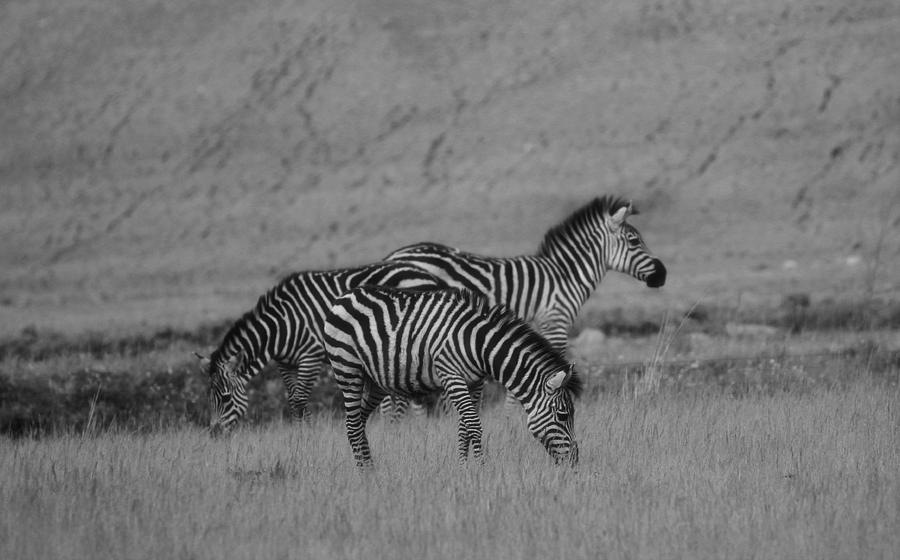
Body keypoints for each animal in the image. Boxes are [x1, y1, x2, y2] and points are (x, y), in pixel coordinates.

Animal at [199, 260, 448, 436]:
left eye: (226, 398)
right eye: (209, 398)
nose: (214, 435)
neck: (282, 325)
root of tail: (427, 275)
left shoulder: (310, 356)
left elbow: (300, 398)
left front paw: (307, 437)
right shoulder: (285, 363)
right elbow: (293, 400)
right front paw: (300, 436)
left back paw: (395, 430)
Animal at [324, 284, 584, 468]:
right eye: (563, 416)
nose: (574, 461)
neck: (480, 345)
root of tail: (345, 295)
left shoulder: (475, 382)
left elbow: (464, 428)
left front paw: (463, 469)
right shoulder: (452, 375)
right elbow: (474, 425)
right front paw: (481, 469)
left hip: (376, 380)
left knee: (359, 422)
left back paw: (371, 470)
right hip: (347, 368)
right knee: (352, 425)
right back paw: (365, 476)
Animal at [384, 195, 664, 410]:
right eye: (634, 240)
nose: (663, 274)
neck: (565, 275)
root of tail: (393, 255)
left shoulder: (530, 328)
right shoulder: (556, 321)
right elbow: (551, 366)